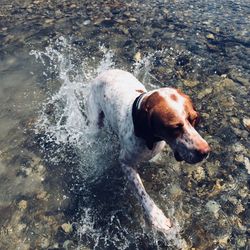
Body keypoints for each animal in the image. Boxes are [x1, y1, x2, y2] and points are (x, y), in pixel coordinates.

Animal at [87, 69, 210, 232]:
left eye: (194, 119)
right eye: (174, 127)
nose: (205, 151)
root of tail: (105, 72)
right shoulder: (126, 163)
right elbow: (142, 193)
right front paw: (156, 216)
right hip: (94, 123)